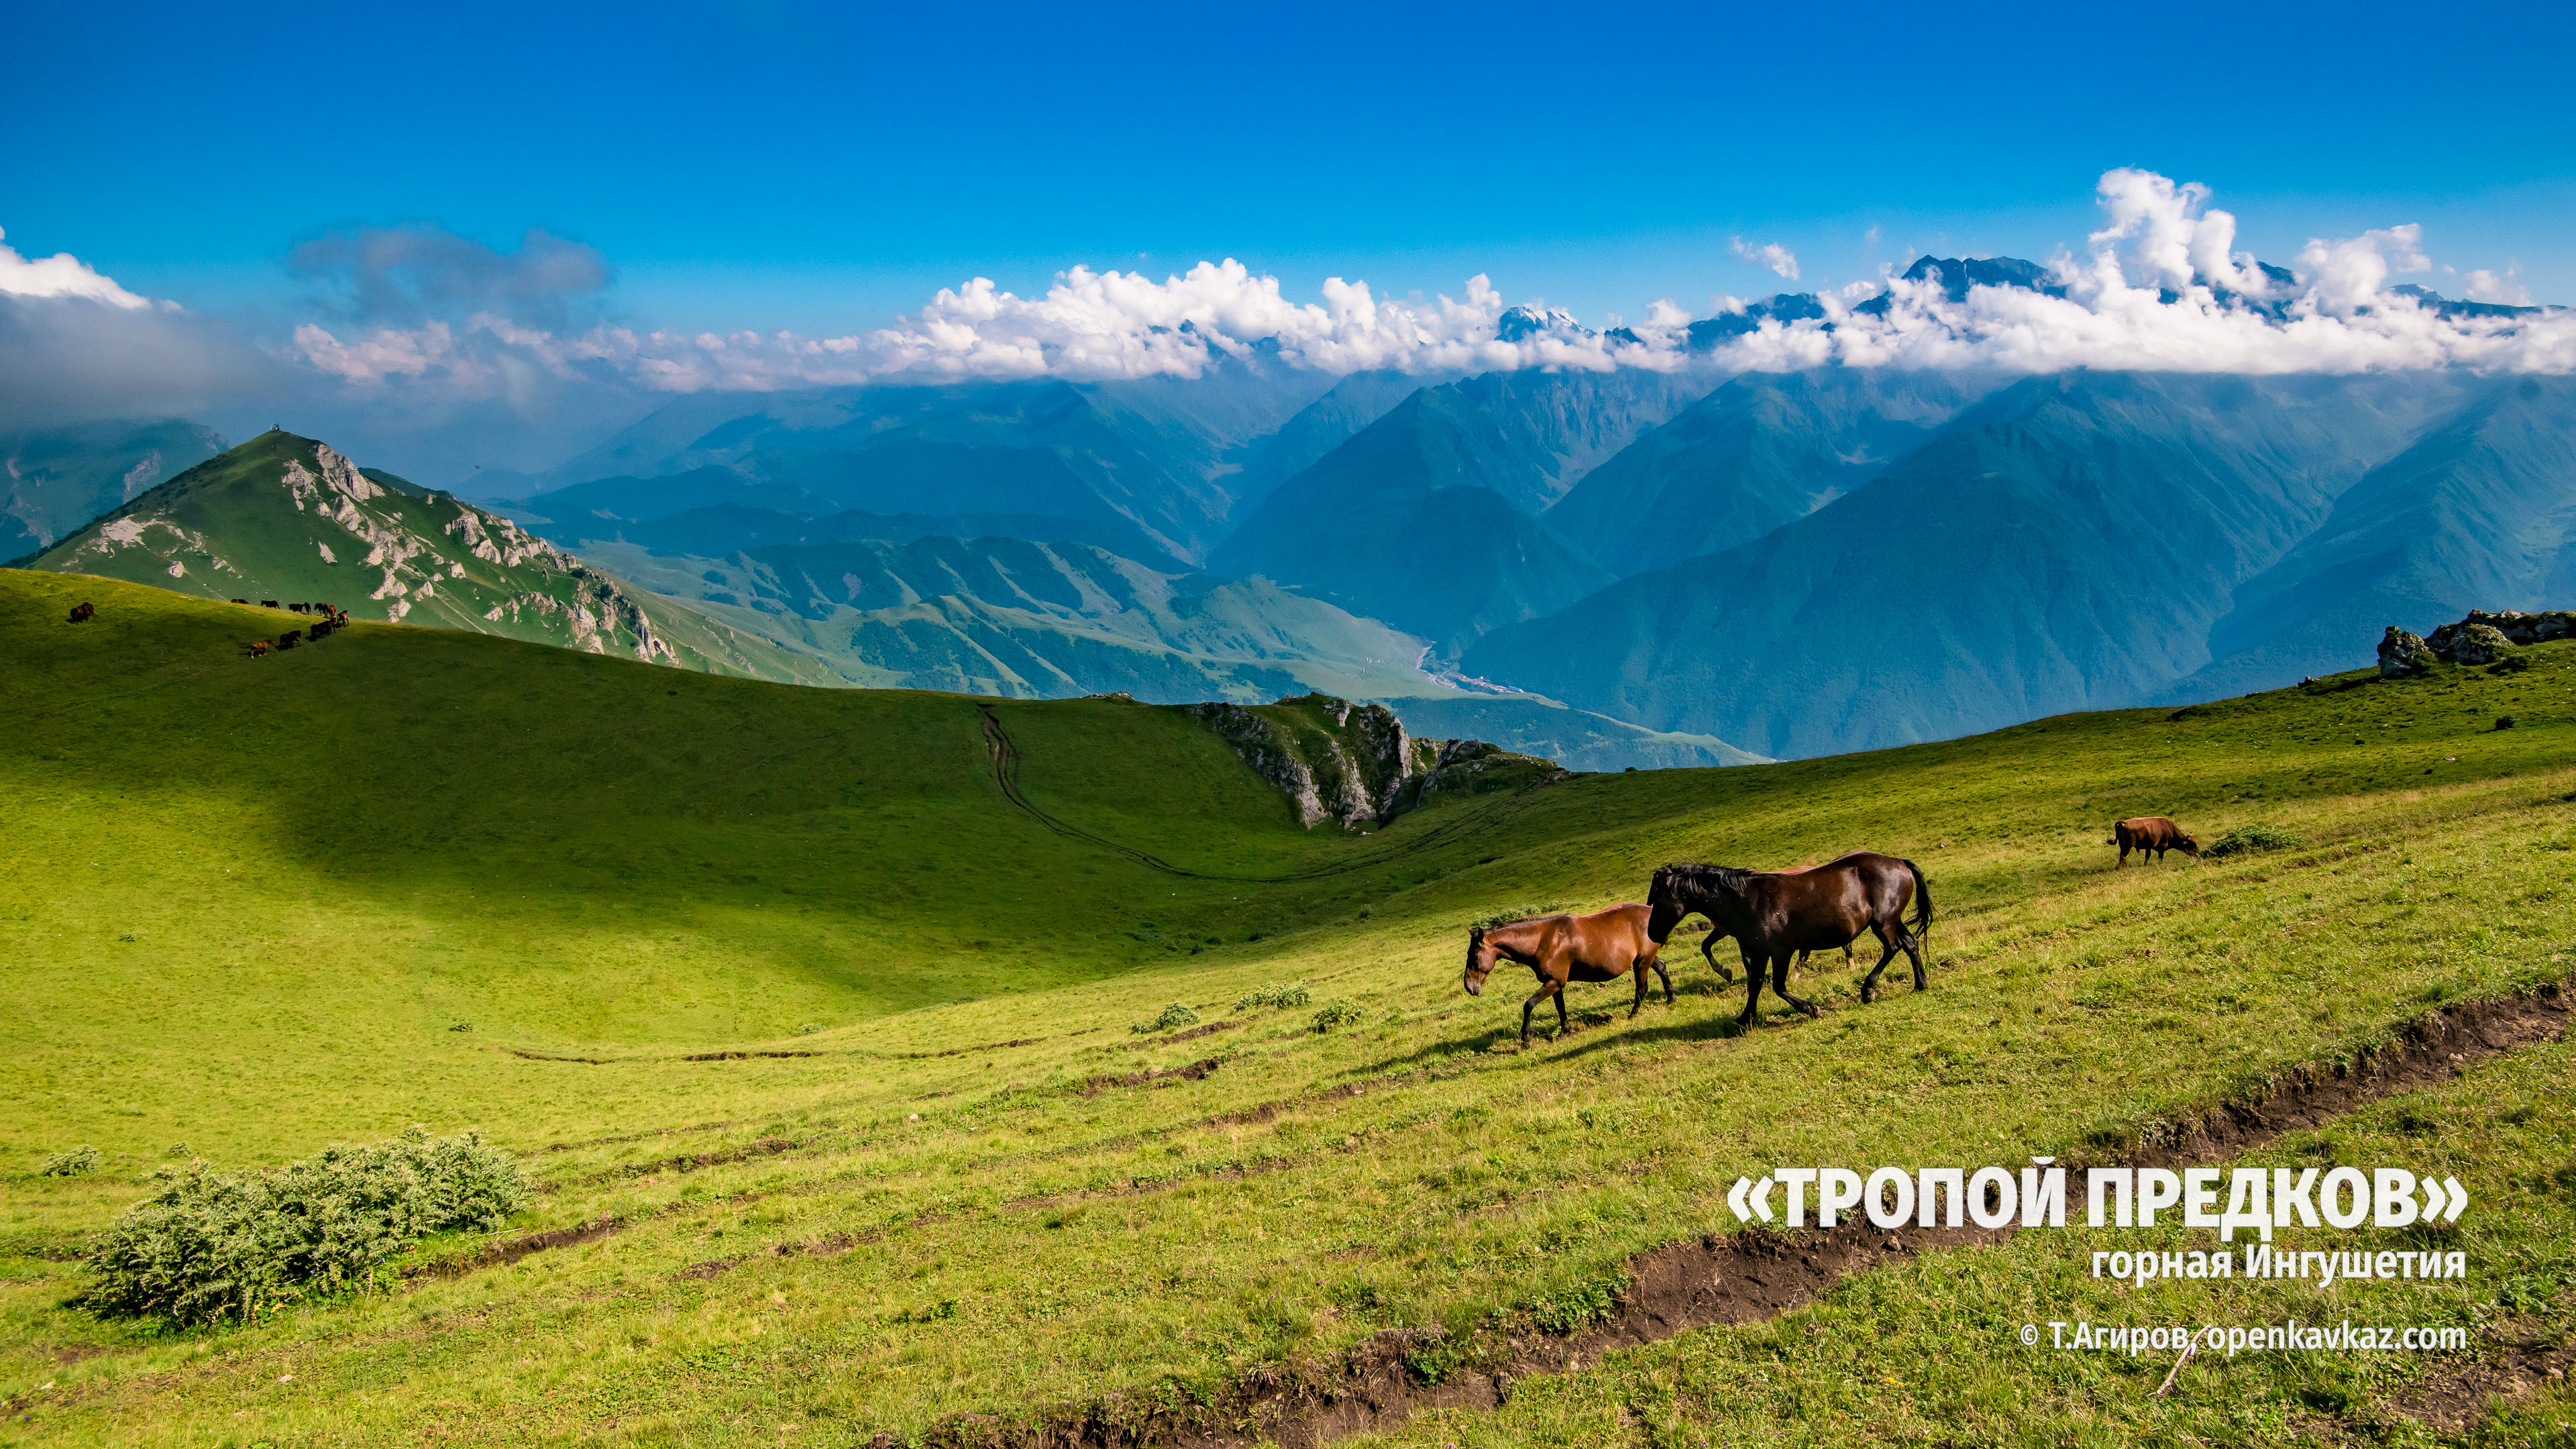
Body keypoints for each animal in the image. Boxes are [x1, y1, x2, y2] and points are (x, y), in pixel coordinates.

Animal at [1473, 902, 1669, 1036]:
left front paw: (1526, 1037)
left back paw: (1633, 1014)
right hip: (1645, 958)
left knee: (1642, 988)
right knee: (1661, 967)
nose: (1471, 987)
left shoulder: (1554, 982)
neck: (1542, 940)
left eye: (1475, 957)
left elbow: (1529, 1005)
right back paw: (1671, 997)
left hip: (1642, 962)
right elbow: (1560, 1007)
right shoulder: (1554, 982)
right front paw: (1565, 1031)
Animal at [1648, 845, 1937, 1026]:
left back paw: (1868, 989)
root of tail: (1899, 862)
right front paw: (1746, 1018)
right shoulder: (1758, 951)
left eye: (1658, 898)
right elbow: (1755, 984)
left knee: (1893, 948)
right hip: (1893, 920)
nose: (1651, 933)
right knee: (1910, 944)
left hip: (1883, 922)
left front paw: (1811, 1009)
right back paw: (1920, 983)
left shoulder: (1780, 951)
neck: (1746, 901)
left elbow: (1778, 986)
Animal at [2102, 820, 2205, 861]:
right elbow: (2160, 857)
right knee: (2123, 856)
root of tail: (2124, 822)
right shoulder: (2162, 847)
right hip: (2128, 846)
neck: (2170, 830)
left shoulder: (2149, 847)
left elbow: (2147, 856)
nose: (2198, 855)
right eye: (2192, 845)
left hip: (2122, 846)